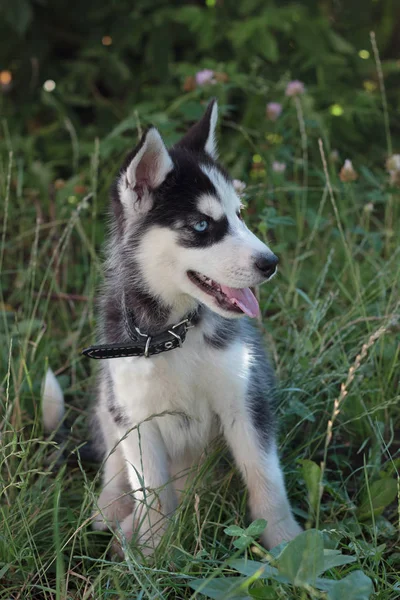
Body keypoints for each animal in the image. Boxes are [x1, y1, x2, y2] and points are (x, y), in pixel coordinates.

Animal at [46, 97, 300, 552]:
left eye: (239, 215)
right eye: (201, 226)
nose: (270, 263)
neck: (173, 334)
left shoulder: (244, 396)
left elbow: (265, 476)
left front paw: (287, 542)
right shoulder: (135, 415)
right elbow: (151, 489)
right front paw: (152, 549)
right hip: (107, 398)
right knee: (114, 463)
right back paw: (112, 512)